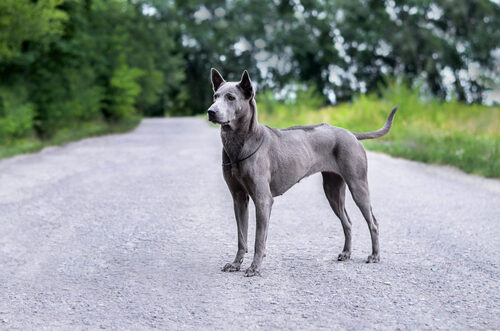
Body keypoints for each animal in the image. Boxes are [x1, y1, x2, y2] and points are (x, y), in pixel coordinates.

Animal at [208, 68, 398, 276]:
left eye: (231, 97)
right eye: (215, 96)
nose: (211, 111)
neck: (240, 143)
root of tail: (351, 134)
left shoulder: (263, 199)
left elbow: (259, 239)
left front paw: (255, 267)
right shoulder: (239, 198)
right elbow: (241, 237)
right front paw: (236, 264)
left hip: (358, 186)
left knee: (373, 222)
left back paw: (375, 256)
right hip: (333, 190)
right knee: (347, 222)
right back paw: (346, 253)